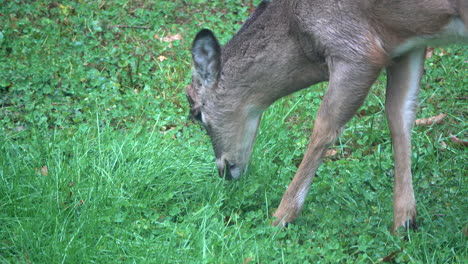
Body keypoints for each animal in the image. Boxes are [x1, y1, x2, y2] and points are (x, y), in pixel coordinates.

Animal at [186, 0, 468, 232]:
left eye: (197, 113)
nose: (223, 169)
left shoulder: (356, 51)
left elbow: (324, 126)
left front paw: (281, 216)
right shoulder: (406, 46)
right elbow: (400, 114)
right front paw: (404, 221)